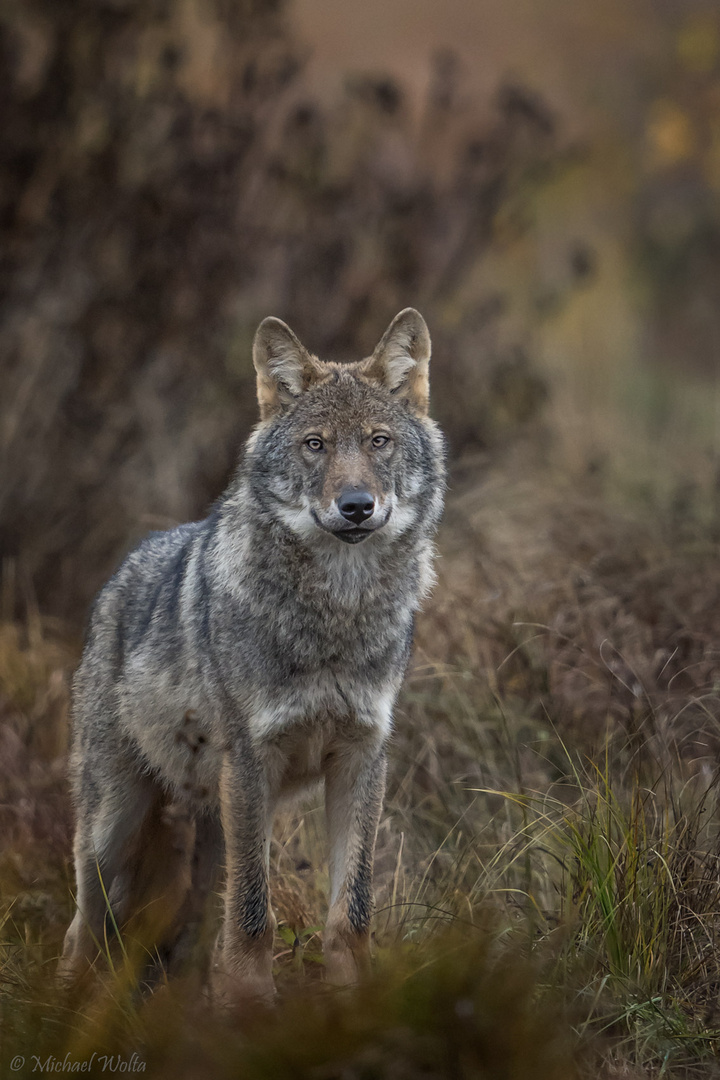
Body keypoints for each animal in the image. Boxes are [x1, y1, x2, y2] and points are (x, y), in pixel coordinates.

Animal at [60, 308, 444, 997]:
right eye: (315, 445)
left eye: (378, 441)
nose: (356, 506)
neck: (335, 619)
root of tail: (118, 576)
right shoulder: (250, 759)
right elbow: (253, 912)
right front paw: (249, 1003)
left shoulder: (362, 758)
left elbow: (351, 911)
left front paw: (355, 1000)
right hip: (115, 825)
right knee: (83, 930)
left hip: (209, 825)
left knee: (186, 928)